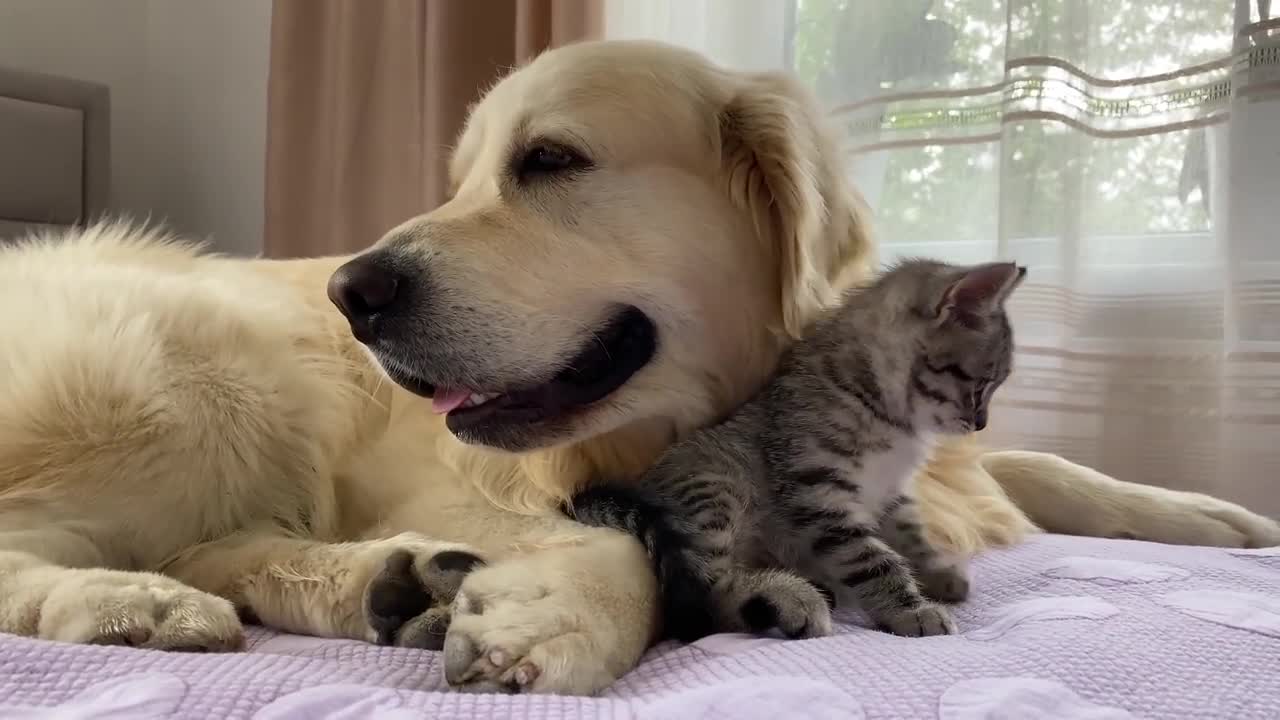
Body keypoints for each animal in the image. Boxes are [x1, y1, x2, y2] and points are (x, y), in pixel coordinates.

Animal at [570, 257, 1018, 638]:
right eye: (981, 385)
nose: (980, 423)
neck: (888, 416)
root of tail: (640, 490)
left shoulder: (891, 492)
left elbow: (912, 536)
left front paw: (937, 573)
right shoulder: (818, 493)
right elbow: (872, 560)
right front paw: (912, 610)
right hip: (715, 487)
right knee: (711, 593)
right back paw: (792, 599)